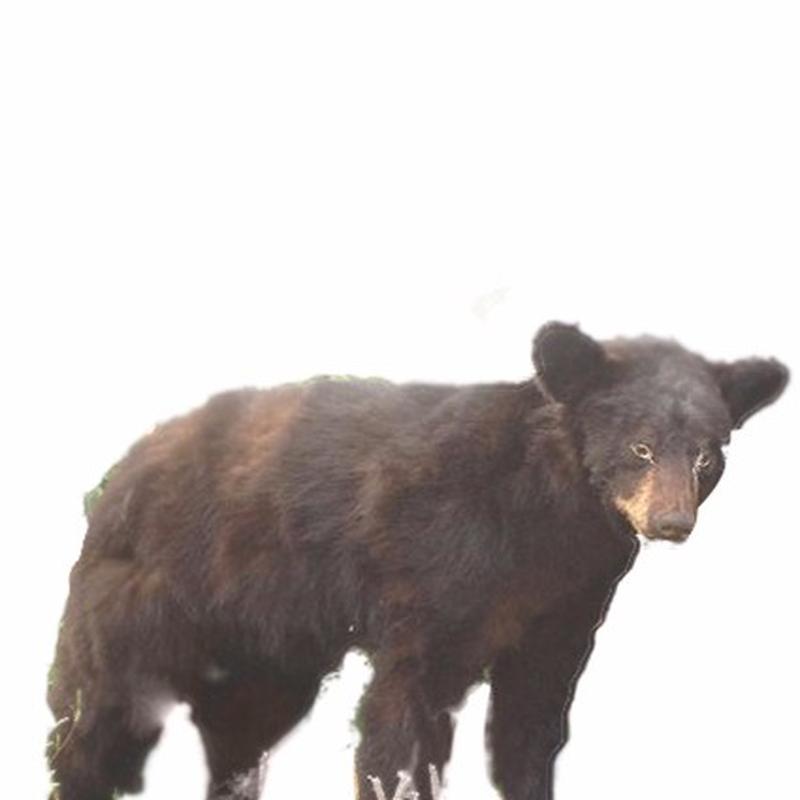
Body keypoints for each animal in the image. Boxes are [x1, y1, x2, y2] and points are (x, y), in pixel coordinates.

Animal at [46, 322, 788, 800]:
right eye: (639, 447)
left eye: (706, 454)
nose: (672, 523)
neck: (544, 522)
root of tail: (116, 476)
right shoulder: (432, 574)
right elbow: (401, 722)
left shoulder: (563, 608)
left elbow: (530, 723)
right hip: (146, 607)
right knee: (96, 721)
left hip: (268, 644)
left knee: (240, 735)